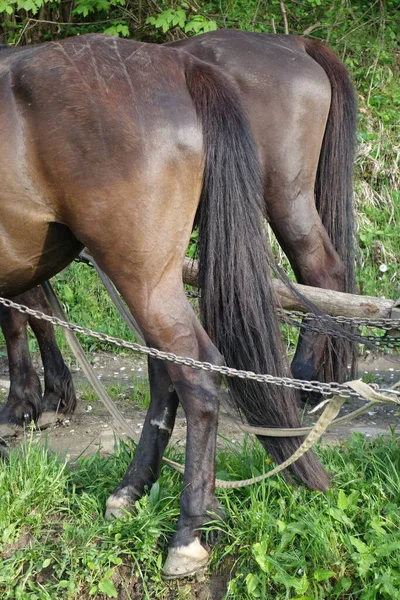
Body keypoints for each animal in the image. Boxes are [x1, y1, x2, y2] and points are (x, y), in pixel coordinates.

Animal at [0, 32, 328, 576]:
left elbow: (22, 320)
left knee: (199, 369)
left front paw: (27, 405)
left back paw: (190, 527)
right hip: (150, 273)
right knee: (166, 368)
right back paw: (133, 488)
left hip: (151, 266)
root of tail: (179, 67)